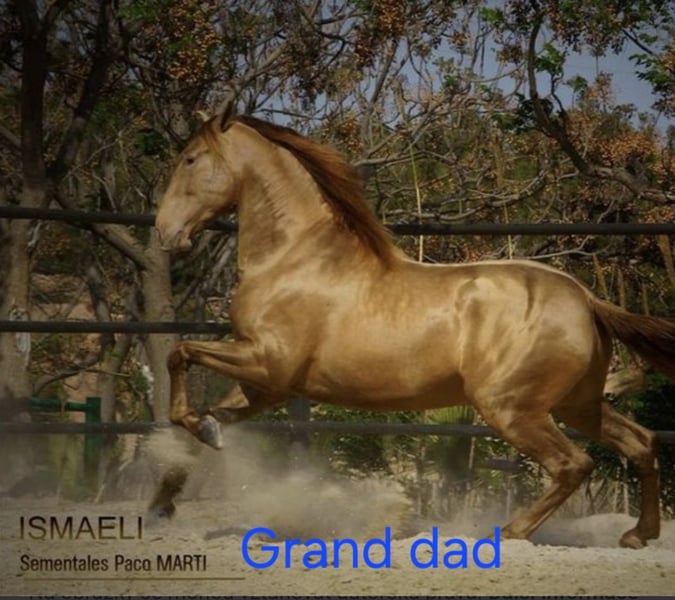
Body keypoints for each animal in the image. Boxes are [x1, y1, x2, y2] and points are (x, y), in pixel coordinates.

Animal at [153, 101, 675, 548]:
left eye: (190, 159)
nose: (164, 231)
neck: (294, 258)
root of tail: (585, 298)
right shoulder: (266, 385)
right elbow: (201, 423)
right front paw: (164, 500)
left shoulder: (266, 363)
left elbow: (179, 354)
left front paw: (195, 433)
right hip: (575, 403)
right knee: (642, 443)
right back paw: (638, 535)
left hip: (511, 407)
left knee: (574, 464)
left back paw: (511, 531)